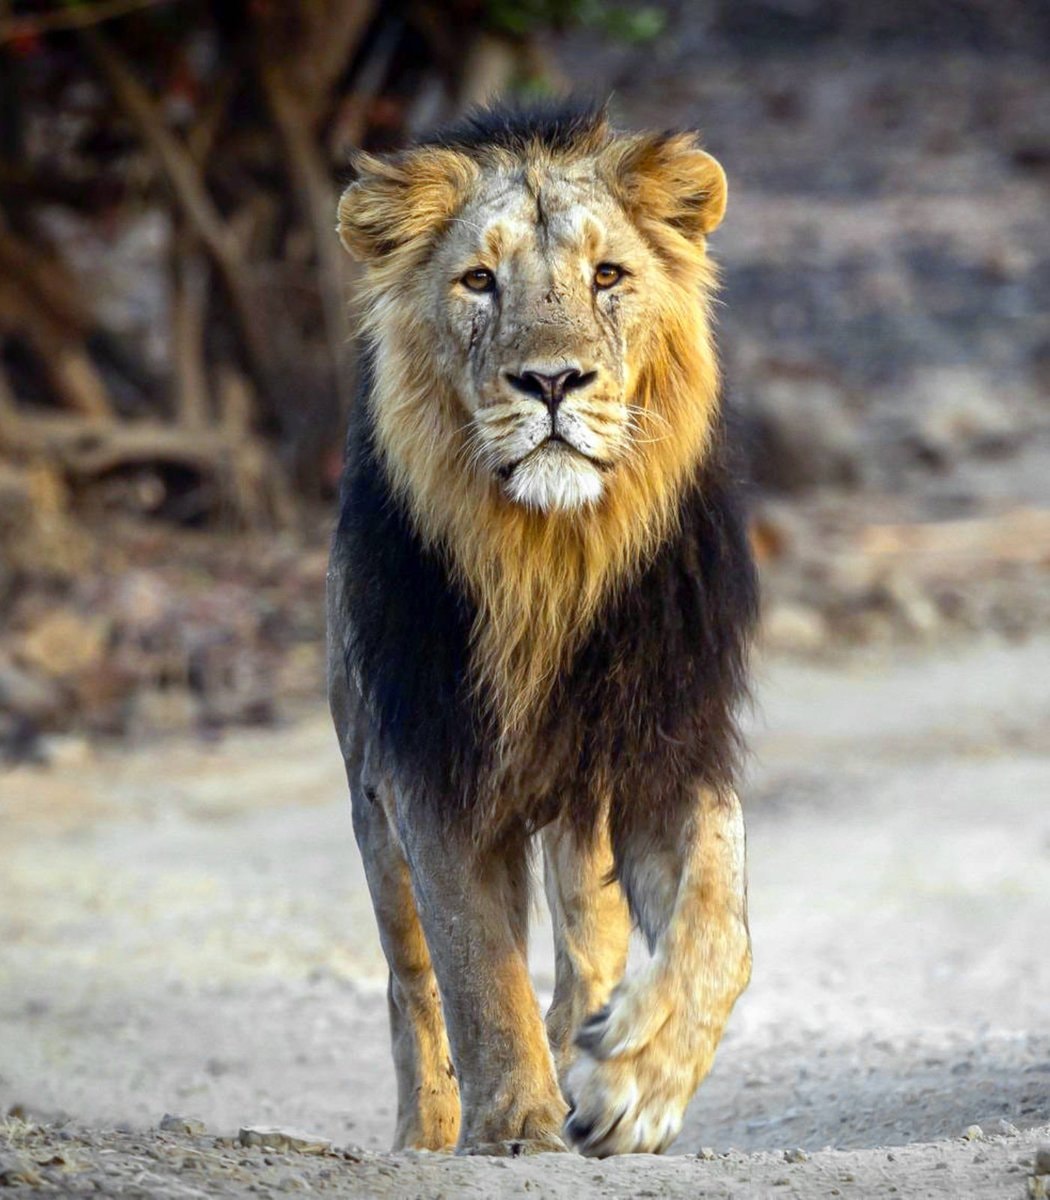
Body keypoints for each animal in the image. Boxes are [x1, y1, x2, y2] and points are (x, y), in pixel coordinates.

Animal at [327, 100, 758, 1158]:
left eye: (608, 275)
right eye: (479, 281)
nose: (553, 382)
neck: (551, 562)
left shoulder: (668, 744)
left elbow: (718, 926)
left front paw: (635, 1083)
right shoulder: (426, 764)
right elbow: (477, 969)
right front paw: (516, 1123)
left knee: (589, 953)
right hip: (368, 800)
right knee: (410, 981)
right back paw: (431, 1128)